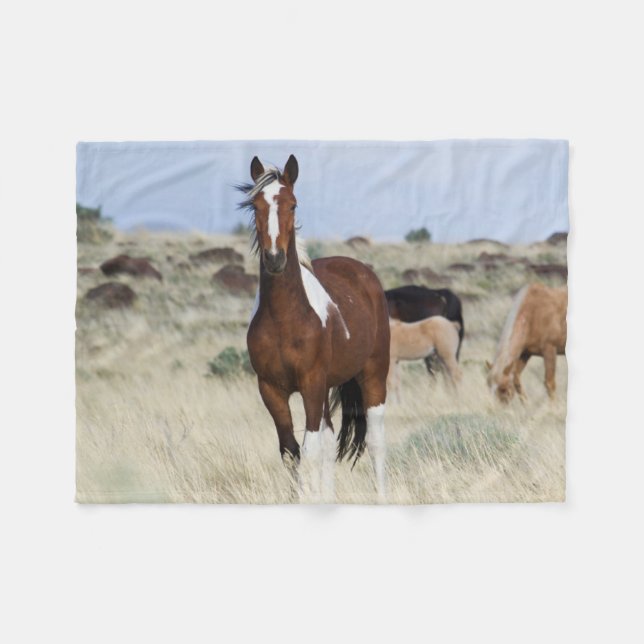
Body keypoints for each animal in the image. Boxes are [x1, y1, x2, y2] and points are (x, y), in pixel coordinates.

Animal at [241, 155, 391, 502]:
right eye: (255, 205)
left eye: (293, 204)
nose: (275, 259)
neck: (285, 319)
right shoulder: (271, 389)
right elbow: (291, 451)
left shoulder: (310, 384)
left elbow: (308, 452)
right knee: (329, 441)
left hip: (373, 376)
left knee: (375, 441)